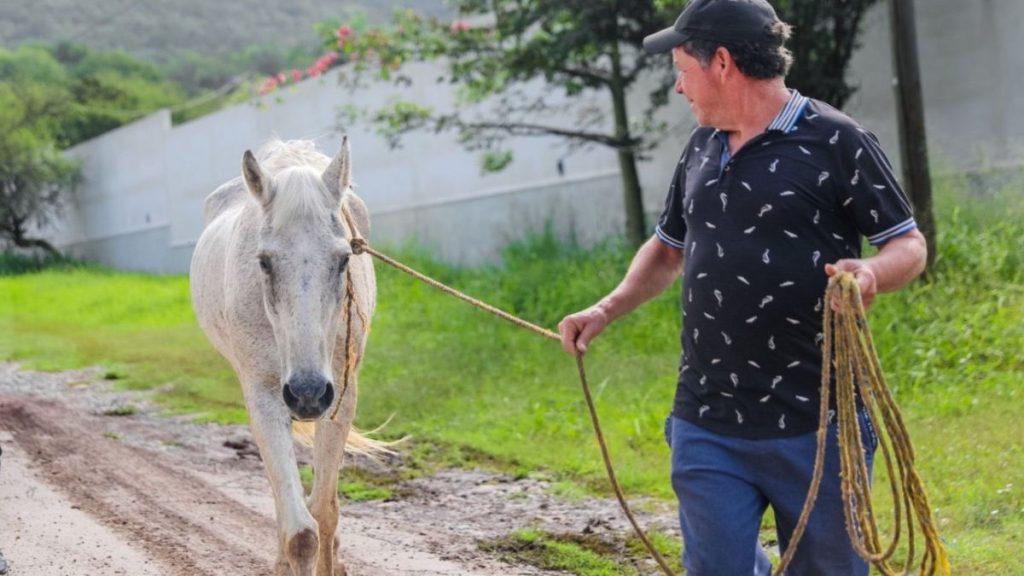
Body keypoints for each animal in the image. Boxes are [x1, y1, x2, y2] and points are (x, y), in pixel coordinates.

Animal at [190, 137, 380, 576]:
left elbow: (324, 513)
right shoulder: (264, 396)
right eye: (264, 261)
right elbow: (301, 533)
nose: (307, 393)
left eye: (344, 259)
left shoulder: (341, 397)